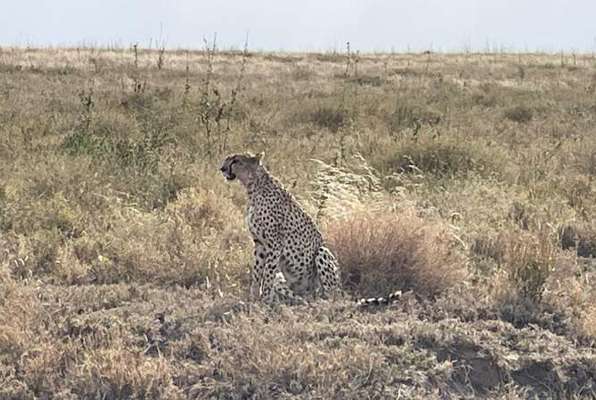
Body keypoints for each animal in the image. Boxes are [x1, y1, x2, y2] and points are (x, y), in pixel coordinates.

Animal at [219, 151, 340, 304]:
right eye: (227, 159)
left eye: (236, 161)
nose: (222, 169)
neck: (253, 188)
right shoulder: (259, 243)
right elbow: (257, 272)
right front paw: (253, 298)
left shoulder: (275, 244)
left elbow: (268, 274)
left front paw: (264, 300)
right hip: (287, 282)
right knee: (299, 297)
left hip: (322, 252)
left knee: (330, 294)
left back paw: (322, 301)